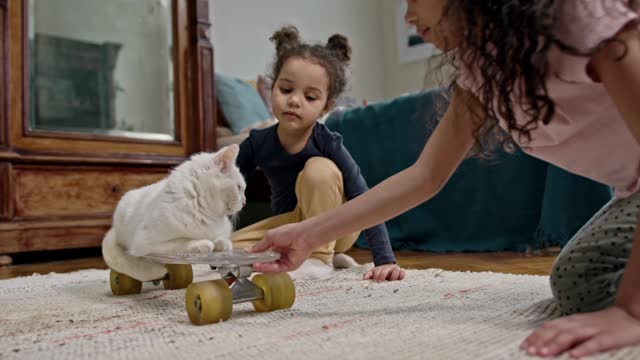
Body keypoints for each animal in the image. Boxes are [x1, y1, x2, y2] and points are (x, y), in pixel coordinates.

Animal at [102, 144, 245, 282]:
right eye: (239, 188)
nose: (244, 201)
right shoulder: (146, 244)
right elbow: (182, 242)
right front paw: (203, 243)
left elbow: (221, 239)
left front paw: (221, 243)